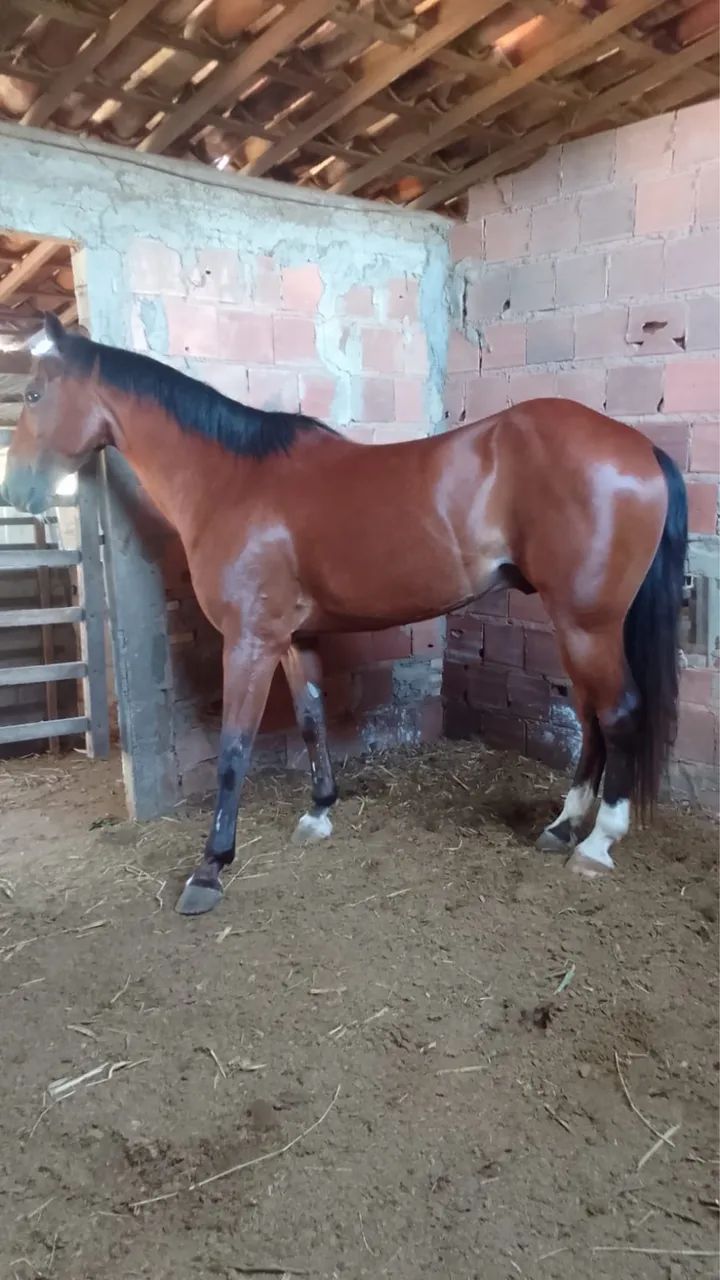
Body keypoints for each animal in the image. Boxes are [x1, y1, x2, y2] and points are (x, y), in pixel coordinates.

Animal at [2, 313, 687, 916]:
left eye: (32, 393)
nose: (19, 493)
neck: (232, 481)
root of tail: (642, 448)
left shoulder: (248, 642)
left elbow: (233, 751)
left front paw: (210, 868)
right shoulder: (291, 638)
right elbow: (311, 721)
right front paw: (319, 810)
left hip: (587, 624)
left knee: (618, 714)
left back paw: (597, 843)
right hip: (579, 627)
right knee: (591, 718)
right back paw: (564, 825)